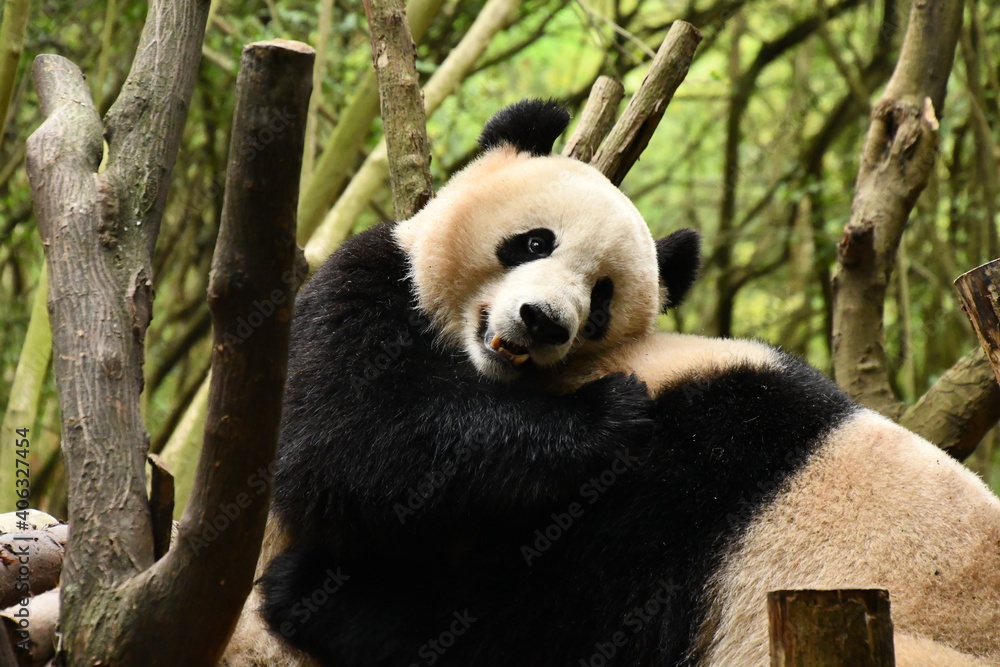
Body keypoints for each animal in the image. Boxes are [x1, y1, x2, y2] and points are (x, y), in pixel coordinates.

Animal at [260, 99, 1000, 666]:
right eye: (534, 242)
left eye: (602, 299)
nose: (543, 321)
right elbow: (347, 434)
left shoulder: (674, 496)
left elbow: (545, 621)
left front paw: (310, 590)